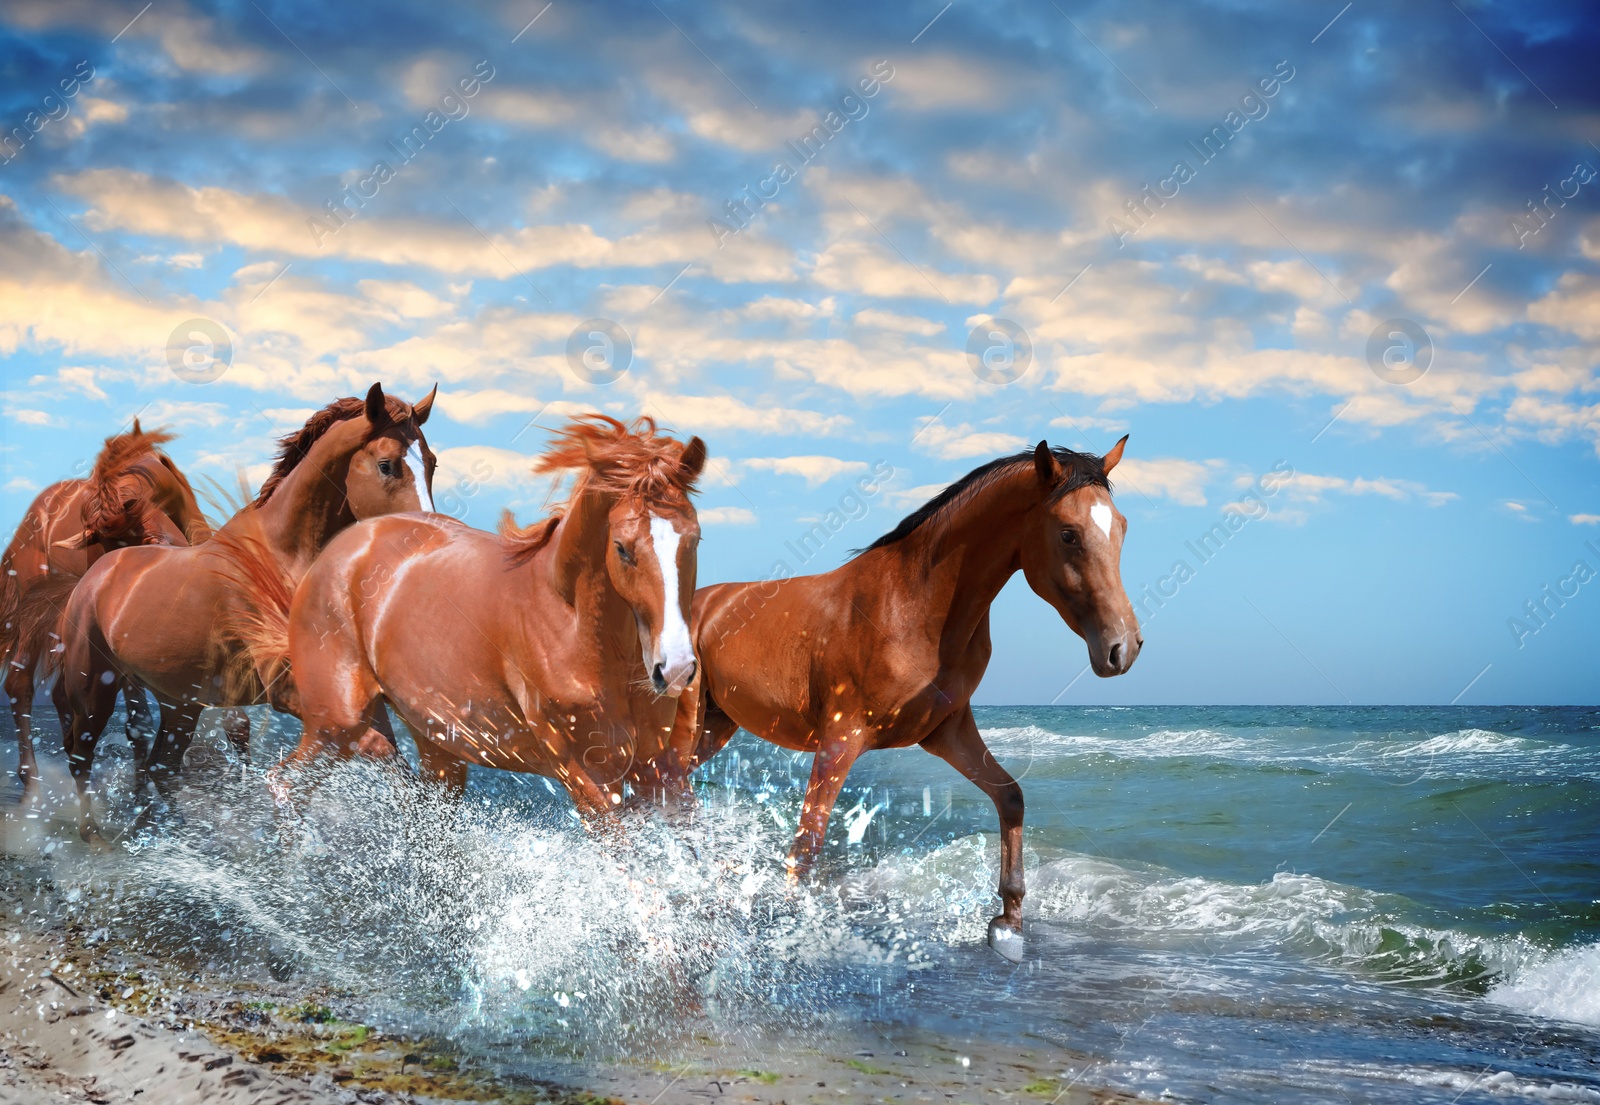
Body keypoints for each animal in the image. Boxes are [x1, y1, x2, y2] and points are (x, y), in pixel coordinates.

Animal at [1, 422, 211, 802]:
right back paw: (32, 785)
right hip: (37, 618)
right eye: (110, 543)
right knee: (19, 685)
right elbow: (140, 720)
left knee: (61, 694)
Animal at [50, 382, 438, 837]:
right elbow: (367, 745)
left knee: (163, 766)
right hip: (93, 687)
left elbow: (397, 766)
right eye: (386, 465)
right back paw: (95, 836)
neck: (282, 560)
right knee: (81, 754)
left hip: (180, 701)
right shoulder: (287, 688)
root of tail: (100, 572)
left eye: (432, 463)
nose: (425, 540)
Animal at [272, 409, 704, 815]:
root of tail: (342, 546)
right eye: (622, 548)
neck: (573, 628)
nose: (676, 668)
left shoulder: (660, 770)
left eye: (696, 539)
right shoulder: (589, 778)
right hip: (336, 723)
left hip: (435, 744)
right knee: (284, 782)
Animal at [668, 438, 1145, 959]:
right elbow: (806, 848)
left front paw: (1009, 927)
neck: (913, 605)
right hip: (687, 720)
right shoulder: (841, 738)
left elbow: (1010, 797)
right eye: (1068, 534)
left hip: (717, 726)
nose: (1122, 648)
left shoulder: (948, 732)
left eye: (1121, 528)